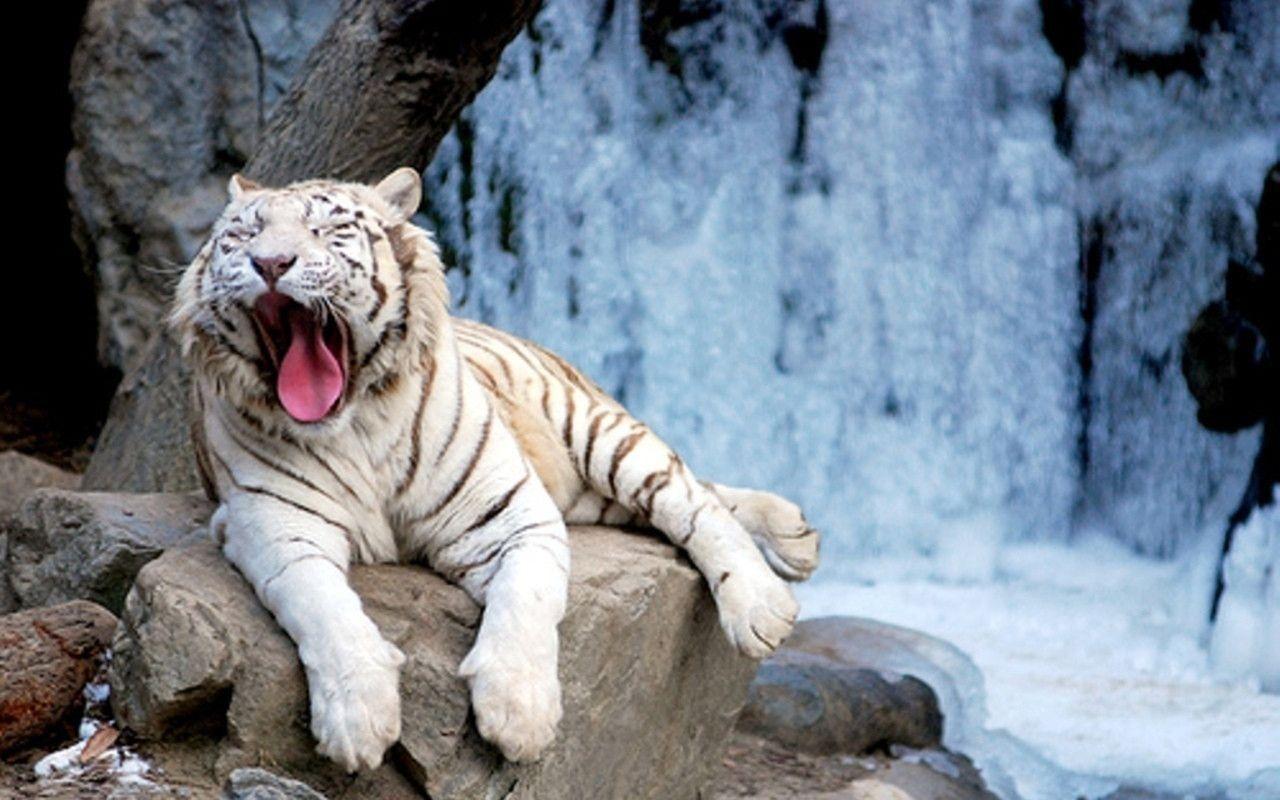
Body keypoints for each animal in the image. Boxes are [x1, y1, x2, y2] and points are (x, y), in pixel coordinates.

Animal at [169, 168, 820, 772]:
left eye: (325, 230)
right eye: (243, 234)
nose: (270, 262)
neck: (355, 423)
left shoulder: (511, 512)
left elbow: (527, 599)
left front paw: (519, 715)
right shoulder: (275, 526)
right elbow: (323, 607)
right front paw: (358, 720)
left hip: (596, 431)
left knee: (690, 497)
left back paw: (765, 600)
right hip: (588, 495)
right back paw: (796, 533)